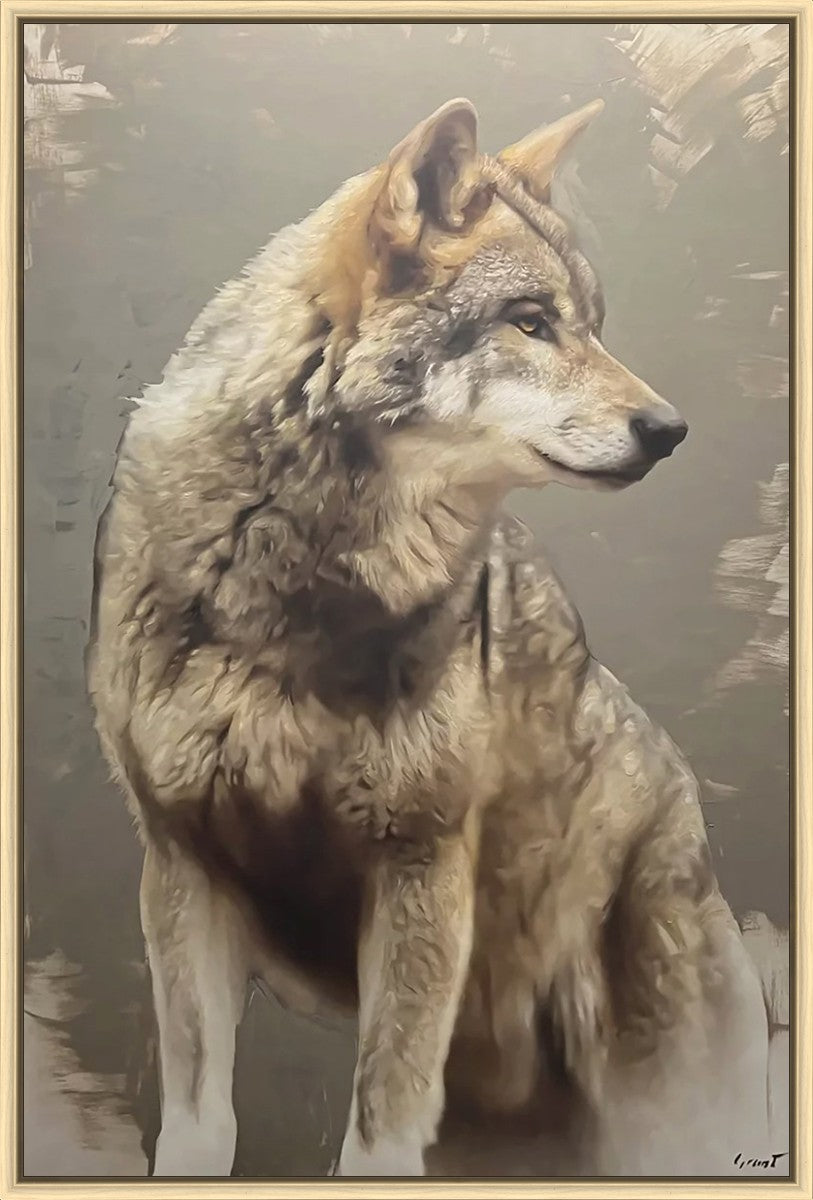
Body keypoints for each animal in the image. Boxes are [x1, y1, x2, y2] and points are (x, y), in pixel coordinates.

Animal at [88, 98, 772, 1177]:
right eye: (531, 322)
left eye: (592, 324)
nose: (670, 430)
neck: (293, 590)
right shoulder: (184, 865)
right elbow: (202, 1124)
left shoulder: (420, 866)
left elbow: (380, 1129)